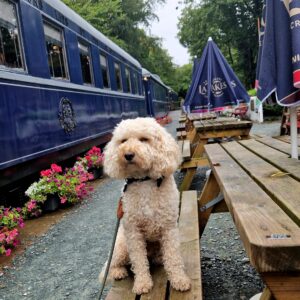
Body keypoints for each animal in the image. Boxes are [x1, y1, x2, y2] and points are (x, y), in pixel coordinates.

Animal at [103, 116, 191, 292]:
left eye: (144, 139)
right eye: (123, 141)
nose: (128, 154)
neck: (144, 181)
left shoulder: (169, 227)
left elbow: (173, 257)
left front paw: (179, 279)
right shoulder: (133, 232)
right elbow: (138, 260)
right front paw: (142, 284)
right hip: (121, 246)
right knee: (112, 264)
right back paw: (118, 272)